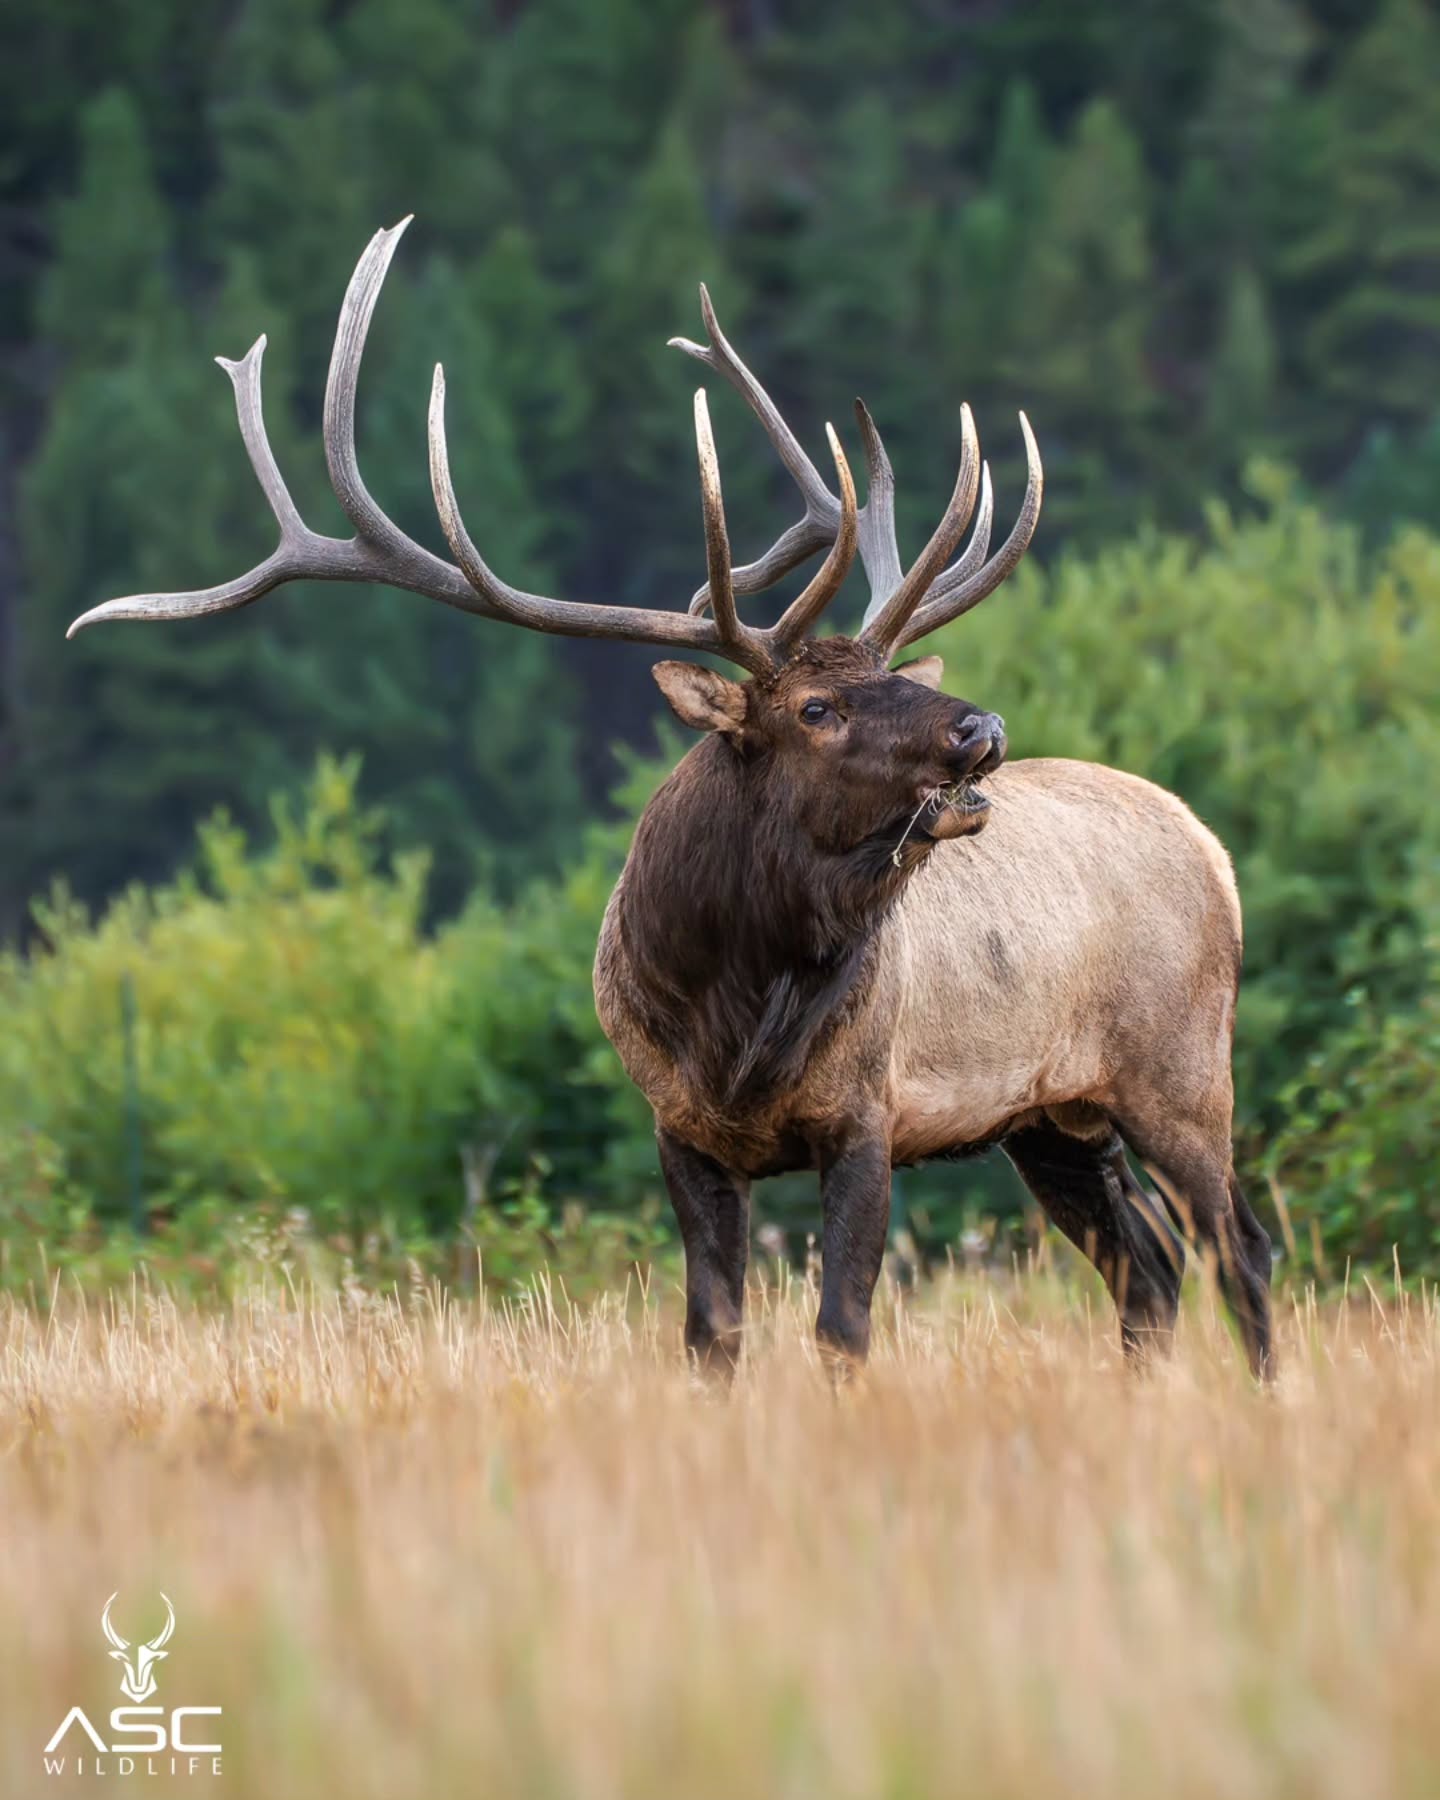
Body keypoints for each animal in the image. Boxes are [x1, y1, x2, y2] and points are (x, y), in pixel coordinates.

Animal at [68, 219, 1273, 1378]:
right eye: (817, 707)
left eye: (890, 677)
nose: (981, 733)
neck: (735, 1017)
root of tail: (1214, 850)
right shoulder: (679, 1127)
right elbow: (712, 1333)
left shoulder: (867, 1112)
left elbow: (841, 1328)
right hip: (1053, 1116)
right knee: (1151, 1268)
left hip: (1180, 1070)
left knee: (1238, 1248)